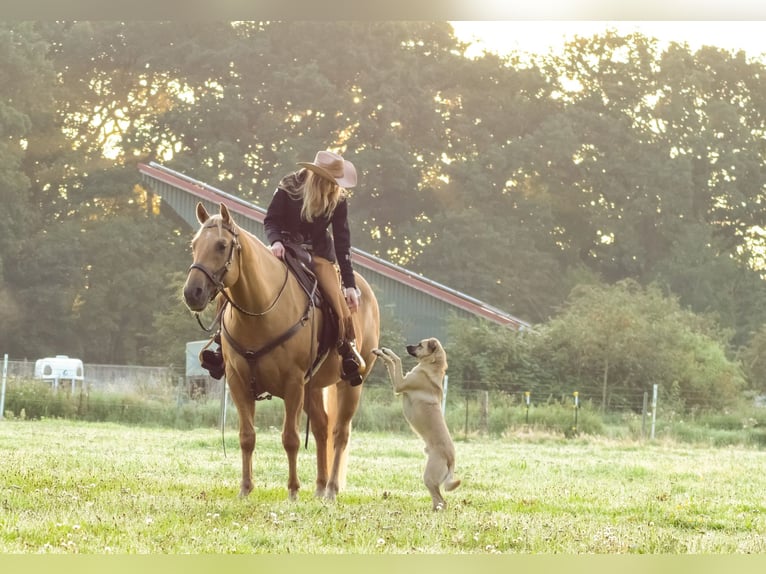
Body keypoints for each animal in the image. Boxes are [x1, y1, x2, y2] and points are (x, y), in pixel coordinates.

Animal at [182, 202, 380, 501]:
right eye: (194, 245)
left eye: (221, 245)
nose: (192, 292)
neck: (261, 311)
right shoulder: (239, 383)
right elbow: (247, 437)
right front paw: (245, 489)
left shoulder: (293, 384)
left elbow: (291, 439)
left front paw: (293, 491)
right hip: (313, 387)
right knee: (321, 428)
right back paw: (319, 488)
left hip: (350, 383)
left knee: (340, 433)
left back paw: (331, 490)